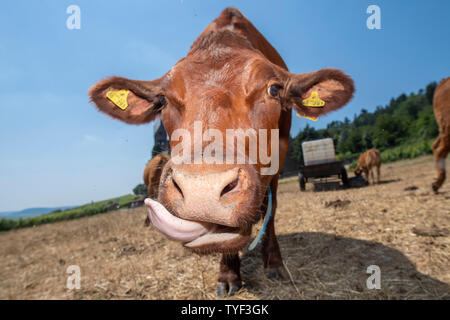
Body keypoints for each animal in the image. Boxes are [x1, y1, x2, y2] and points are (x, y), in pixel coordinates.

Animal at [89, 8, 356, 298]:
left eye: (273, 89)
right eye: (163, 100)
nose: (201, 191)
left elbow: (272, 209)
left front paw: (274, 263)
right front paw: (228, 274)